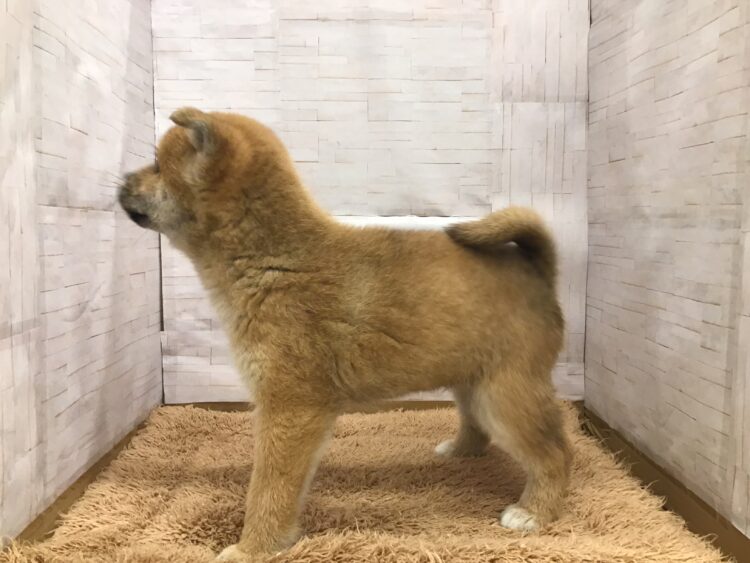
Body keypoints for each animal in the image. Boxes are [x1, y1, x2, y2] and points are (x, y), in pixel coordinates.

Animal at [118, 107, 571, 561]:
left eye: (157, 166)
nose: (121, 180)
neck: (273, 259)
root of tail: (537, 270)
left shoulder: (290, 408)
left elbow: (268, 490)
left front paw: (253, 547)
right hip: (471, 381)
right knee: (478, 425)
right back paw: (460, 452)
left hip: (503, 395)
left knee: (555, 454)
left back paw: (534, 511)